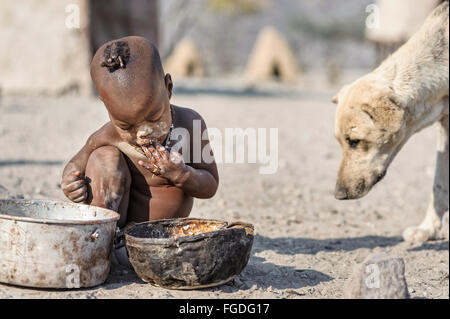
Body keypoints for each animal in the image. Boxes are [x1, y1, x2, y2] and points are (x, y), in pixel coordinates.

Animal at [332, 1, 448, 245]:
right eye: (340, 142)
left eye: (354, 141)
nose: (339, 194)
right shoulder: (445, 125)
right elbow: (439, 184)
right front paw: (428, 229)